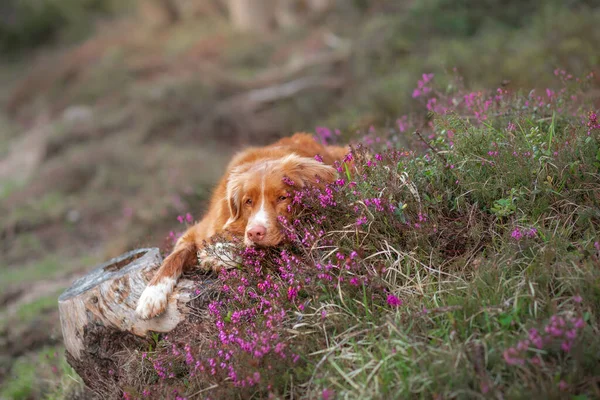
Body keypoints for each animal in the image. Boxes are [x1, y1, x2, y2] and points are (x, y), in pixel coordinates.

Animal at [136, 133, 346, 320]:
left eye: (282, 198)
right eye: (248, 201)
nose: (255, 233)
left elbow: (251, 253)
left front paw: (218, 256)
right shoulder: (198, 231)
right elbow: (173, 257)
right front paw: (151, 296)